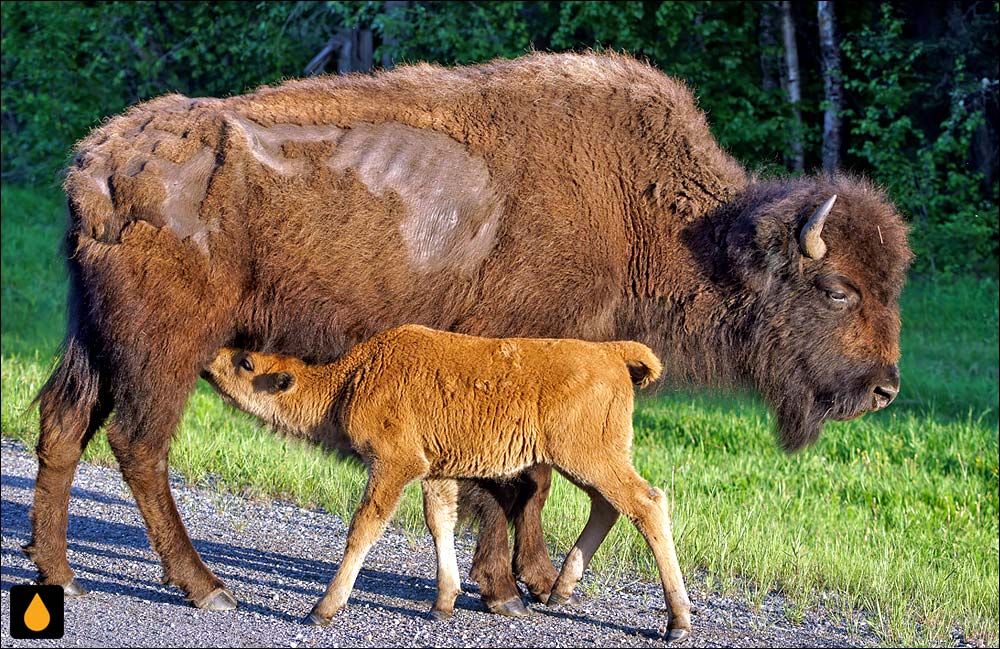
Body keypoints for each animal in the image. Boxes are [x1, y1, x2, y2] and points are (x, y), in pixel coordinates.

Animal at [203, 326, 688, 640]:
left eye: (245, 362)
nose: (208, 361)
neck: (352, 379)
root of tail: (610, 353)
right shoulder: (437, 472)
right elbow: (440, 523)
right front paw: (444, 603)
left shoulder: (394, 465)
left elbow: (365, 526)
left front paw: (322, 610)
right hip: (587, 462)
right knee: (609, 507)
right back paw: (560, 591)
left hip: (589, 458)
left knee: (647, 503)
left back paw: (677, 623)